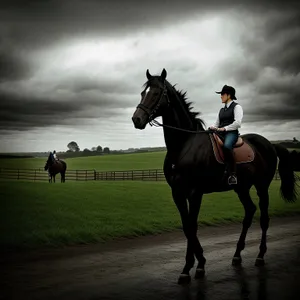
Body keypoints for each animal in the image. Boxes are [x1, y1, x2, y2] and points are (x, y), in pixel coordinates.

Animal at [131, 68, 298, 284]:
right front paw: (190, 266)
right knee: (250, 211)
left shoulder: (194, 193)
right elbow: (186, 227)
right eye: (143, 93)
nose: (136, 120)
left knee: (264, 218)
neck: (183, 146)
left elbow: (192, 226)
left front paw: (196, 265)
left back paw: (260, 256)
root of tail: (269, 144)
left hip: (262, 186)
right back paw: (237, 254)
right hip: (241, 187)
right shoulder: (178, 193)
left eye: (157, 93)